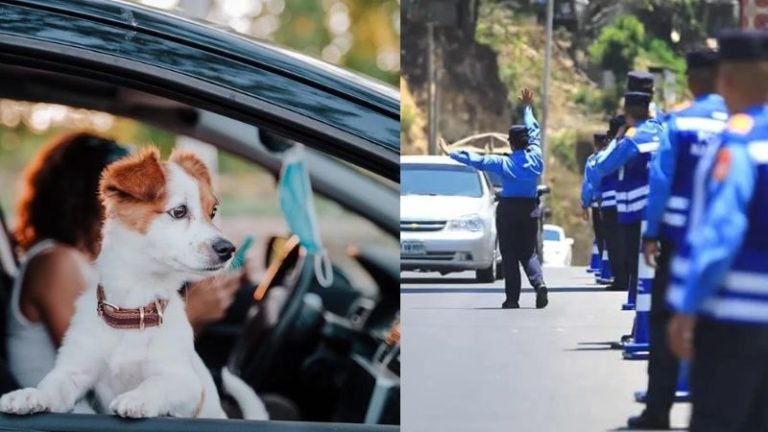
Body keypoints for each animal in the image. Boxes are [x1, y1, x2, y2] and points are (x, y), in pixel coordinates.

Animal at [0, 148, 268, 418]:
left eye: (212, 212)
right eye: (179, 211)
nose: (228, 249)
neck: (133, 310)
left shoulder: (189, 384)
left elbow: (157, 382)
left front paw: (137, 398)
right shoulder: (74, 370)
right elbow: (51, 386)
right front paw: (29, 395)